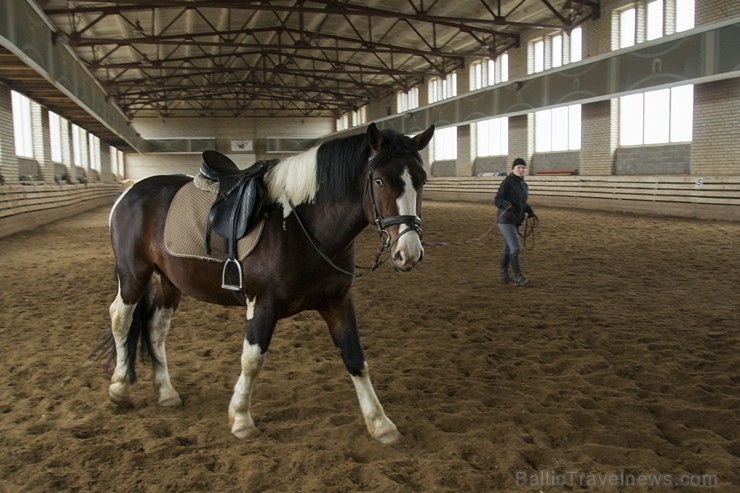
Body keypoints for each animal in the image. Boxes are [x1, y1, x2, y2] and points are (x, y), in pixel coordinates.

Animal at [101, 122, 434, 442]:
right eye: (379, 181)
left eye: (422, 180)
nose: (409, 253)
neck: (303, 225)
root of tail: (130, 192)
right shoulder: (262, 303)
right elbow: (252, 359)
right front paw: (241, 419)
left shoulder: (337, 302)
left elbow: (355, 357)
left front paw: (380, 424)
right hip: (133, 272)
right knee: (121, 318)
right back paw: (119, 388)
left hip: (169, 281)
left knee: (156, 328)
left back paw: (166, 392)